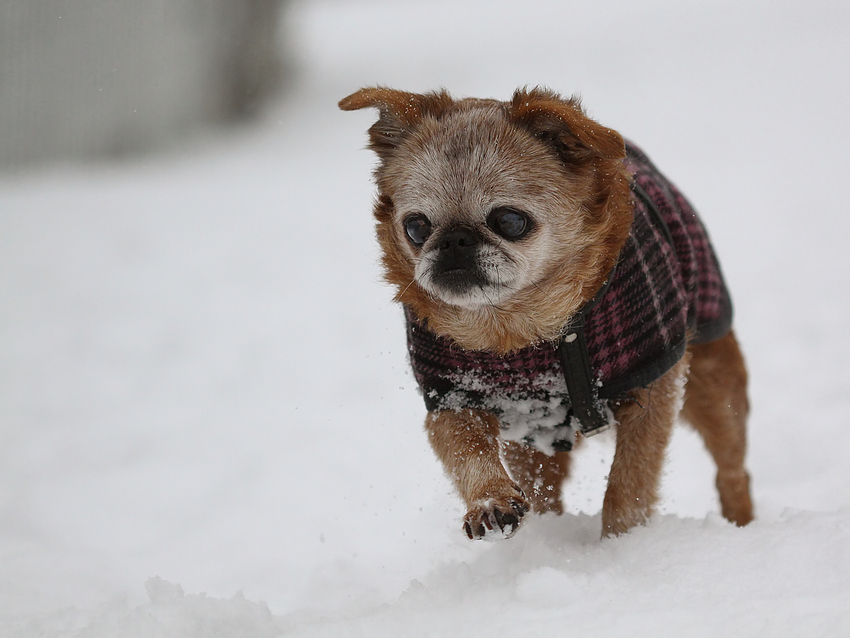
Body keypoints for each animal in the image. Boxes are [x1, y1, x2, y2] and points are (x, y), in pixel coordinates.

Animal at [336, 87, 748, 544]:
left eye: (510, 220)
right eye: (416, 227)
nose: (455, 240)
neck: (517, 328)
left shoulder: (651, 390)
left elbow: (631, 479)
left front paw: (621, 541)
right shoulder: (453, 397)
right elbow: (467, 451)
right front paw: (491, 501)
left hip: (713, 386)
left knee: (731, 468)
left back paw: (741, 522)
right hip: (534, 434)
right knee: (543, 486)